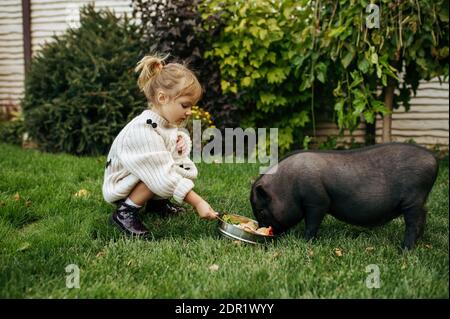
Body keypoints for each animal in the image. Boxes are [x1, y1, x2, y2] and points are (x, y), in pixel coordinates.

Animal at [251, 142, 438, 250]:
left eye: (261, 211)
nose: (264, 231)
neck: (288, 187)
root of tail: (434, 161)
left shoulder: (317, 201)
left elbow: (312, 223)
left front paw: (306, 242)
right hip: (419, 201)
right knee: (423, 216)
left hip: (413, 200)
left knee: (413, 223)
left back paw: (404, 249)